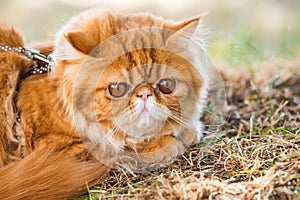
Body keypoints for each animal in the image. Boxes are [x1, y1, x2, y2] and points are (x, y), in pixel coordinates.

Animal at [0, 8, 209, 199]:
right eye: (117, 89)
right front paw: (181, 136)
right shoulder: (62, 150)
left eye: (166, 85)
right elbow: (131, 146)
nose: (144, 94)